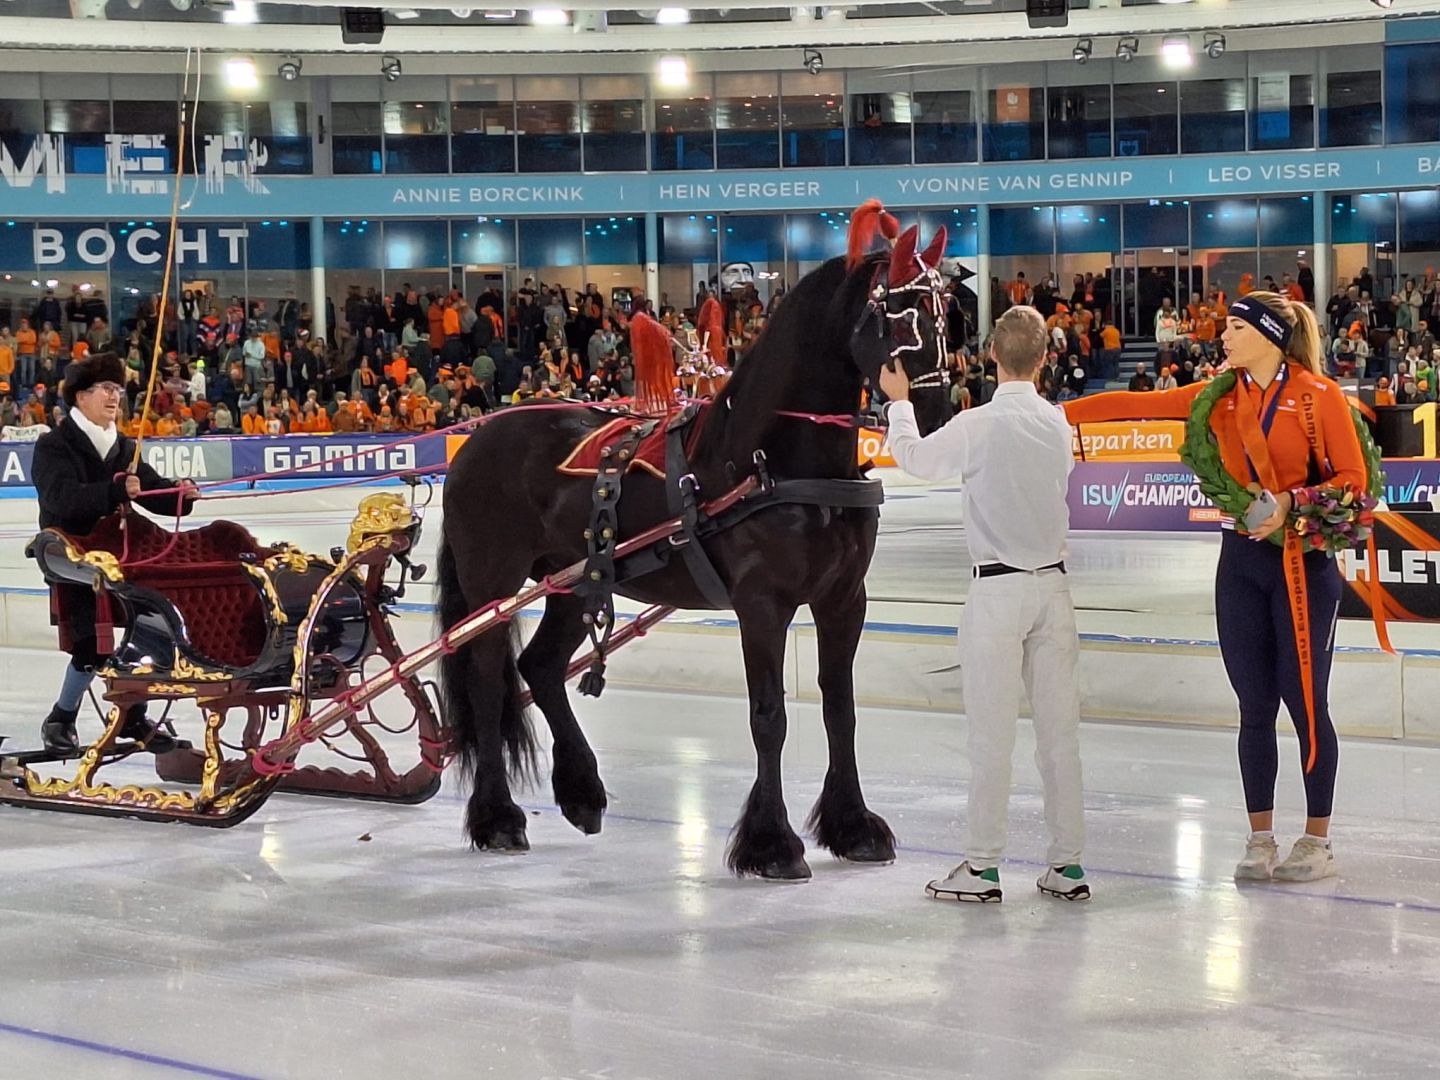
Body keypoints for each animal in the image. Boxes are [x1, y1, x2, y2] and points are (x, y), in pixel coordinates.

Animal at [437, 201, 954, 880]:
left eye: (948, 308)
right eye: (901, 307)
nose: (941, 415)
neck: (769, 458)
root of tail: (479, 435)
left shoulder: (844, 599)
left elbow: (839, 710)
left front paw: (852, 826)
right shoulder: (761, 604)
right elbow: (769, 716)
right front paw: (771, 843)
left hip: (574, 582)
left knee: (540, 668)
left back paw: (581, 792)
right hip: (491, 584)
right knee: (488, 682)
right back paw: (497, 817)